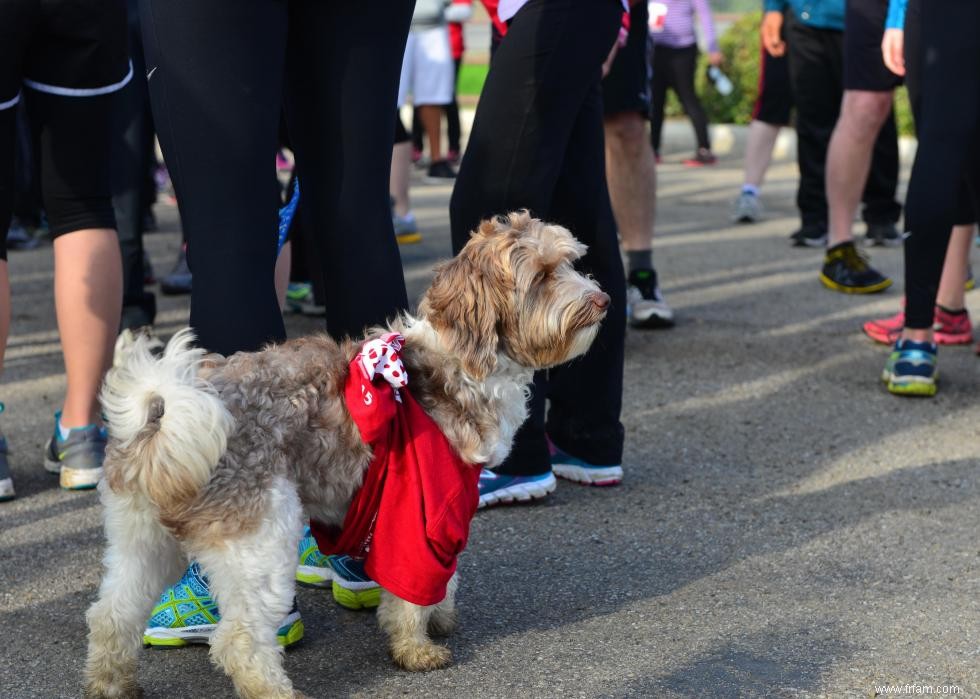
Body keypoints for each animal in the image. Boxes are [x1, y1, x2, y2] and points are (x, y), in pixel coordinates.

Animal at [84, 213, 608, 699]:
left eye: (569, 262)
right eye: (542, 275)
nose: (602, 300)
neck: (460, 363)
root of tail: (162, 415)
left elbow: (443, 578)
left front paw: (437, 617)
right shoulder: (424, 512)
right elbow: (416, 585)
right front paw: (416, 647)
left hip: (141, 541)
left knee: (111, 616)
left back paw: (112, 685)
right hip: (261, 540)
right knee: (239, 638)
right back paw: (273, 690)